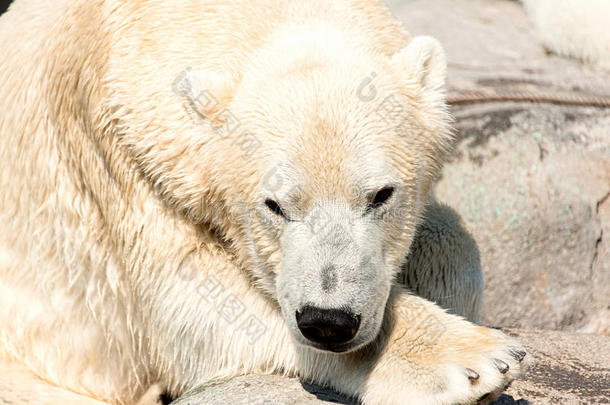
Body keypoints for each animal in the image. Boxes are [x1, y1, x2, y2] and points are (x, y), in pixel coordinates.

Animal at [0, 0, 524, 404]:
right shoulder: (126, 169)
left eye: (381, 195)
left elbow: (450, 240)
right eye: (274, 205)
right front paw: (472, 361)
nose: (328, 321)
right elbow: (194, 298)